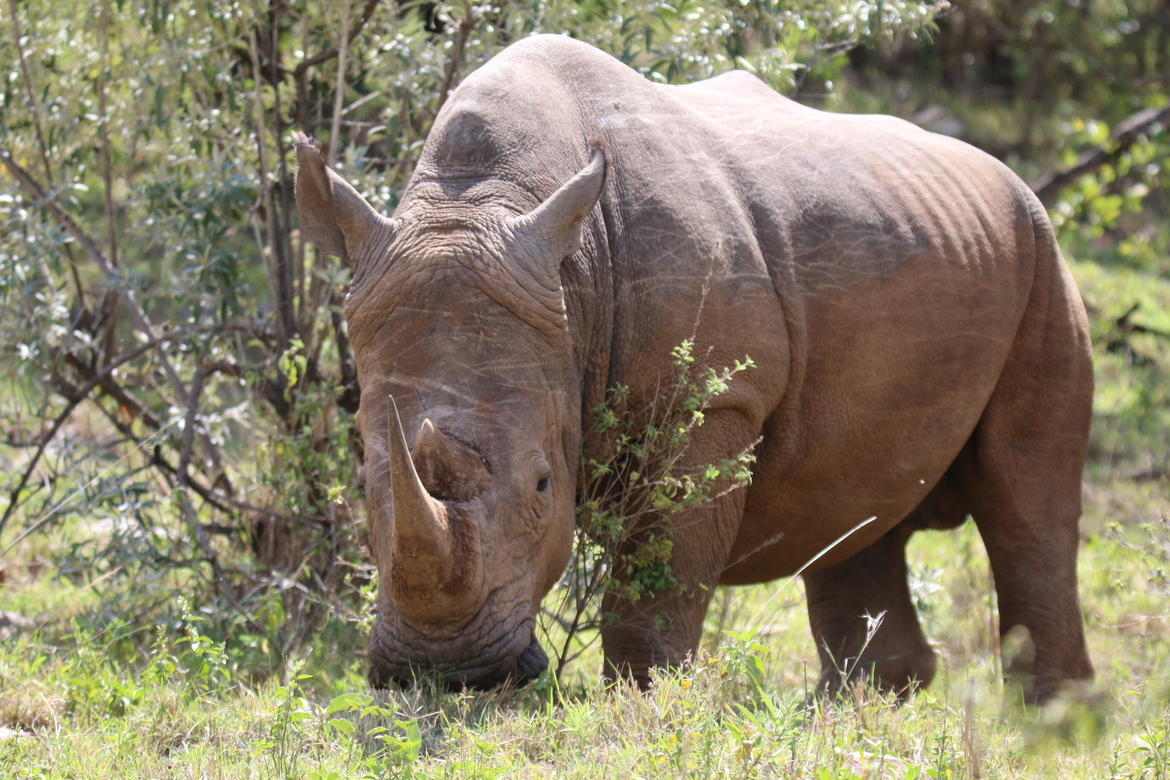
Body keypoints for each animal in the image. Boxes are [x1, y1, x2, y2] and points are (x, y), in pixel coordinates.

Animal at [293, 35, 1094, 703]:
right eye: (363, 483)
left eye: (544, 485)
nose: (445, 673)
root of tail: (1001, 172)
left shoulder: (711, 402)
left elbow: (660, 579)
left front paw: (644, 705)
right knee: (859, 505)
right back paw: (859, 707)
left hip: (1041, 251)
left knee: (1028, 499)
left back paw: (1050, 720)